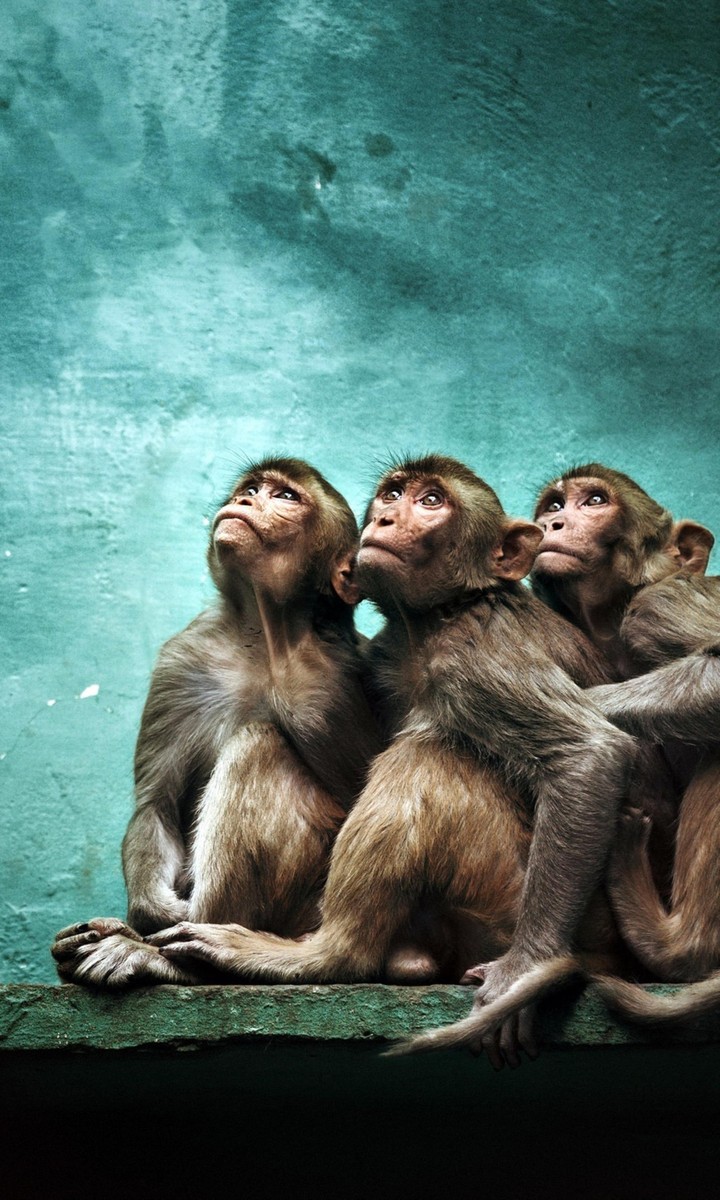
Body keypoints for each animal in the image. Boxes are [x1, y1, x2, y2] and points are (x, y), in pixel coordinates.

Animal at [51, 457, 382, 988]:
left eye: (284, 497)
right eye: (251, 488)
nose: (246, 500)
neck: (257, 637)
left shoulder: (352, 663)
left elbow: (366, 790)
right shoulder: (182, 660)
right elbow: (157, 804)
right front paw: (153, 909)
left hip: (304, 912)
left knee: (259, 743)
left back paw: (171, 958)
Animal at [146, 456, 637, 1065]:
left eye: (431, 502)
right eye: (393, 494)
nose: (383, 518)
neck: (438, 617)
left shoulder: (478, 655)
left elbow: (587, 754)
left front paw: (525, 968)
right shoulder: (380, 657)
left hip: (501, 900)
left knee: (426, 757)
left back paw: (327, 956)